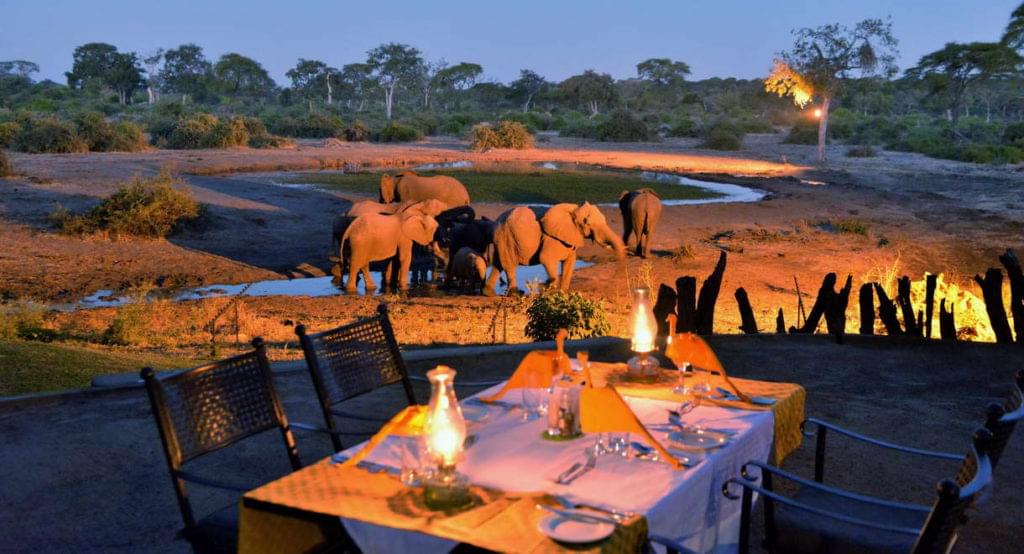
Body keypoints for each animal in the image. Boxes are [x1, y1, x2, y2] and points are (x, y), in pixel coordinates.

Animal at [484, 202, 625, 296]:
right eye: (587, 223)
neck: (574, 210)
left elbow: (570, 261)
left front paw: (563, 292)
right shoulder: (550, 237)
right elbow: (546, 258)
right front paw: (551, 290)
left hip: (503, 239)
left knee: (497, 264)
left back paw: (488, 292)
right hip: (506, 237)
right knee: (509, 265)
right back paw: (516, 294)